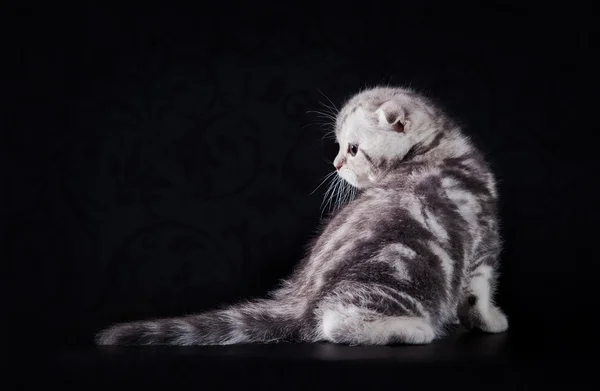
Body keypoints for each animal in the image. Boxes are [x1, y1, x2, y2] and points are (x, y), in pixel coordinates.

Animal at [96, 87, 508, 348]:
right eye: (340, 147)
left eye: (352, 149)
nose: (336, 163)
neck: (439, 148)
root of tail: (299, 299)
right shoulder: (484, 241)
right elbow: (479, 294)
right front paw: (491, 321)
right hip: (401, 275)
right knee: (334, 322)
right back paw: (413, 330)